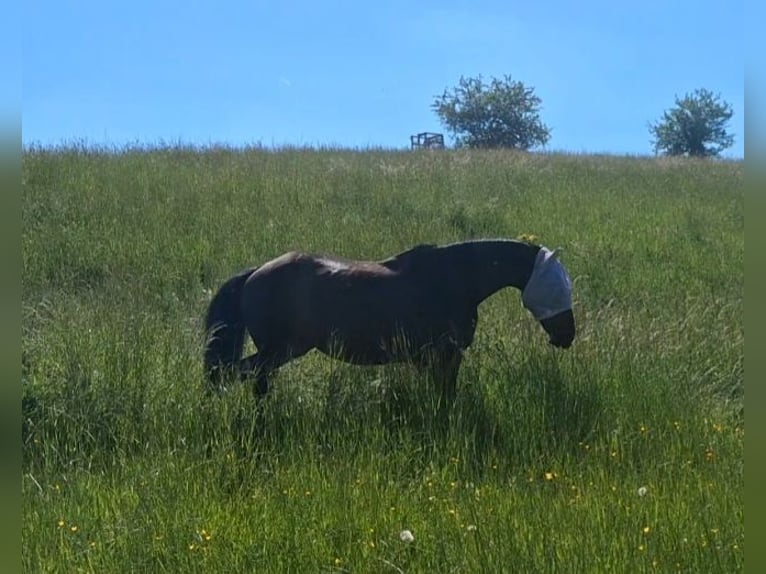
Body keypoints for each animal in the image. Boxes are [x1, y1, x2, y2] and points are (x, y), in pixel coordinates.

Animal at [203, 239, 575, 404]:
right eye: (558, 287)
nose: (567, 335)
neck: (454, 279)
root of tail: (255, 273)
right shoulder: (445, 356)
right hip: (278, 350)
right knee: (231, 374)